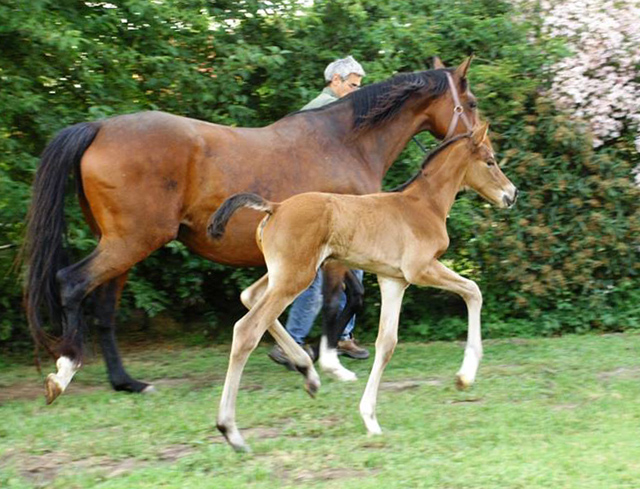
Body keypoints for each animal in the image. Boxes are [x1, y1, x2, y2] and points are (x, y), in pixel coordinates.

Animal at [23, 57, 480, 402]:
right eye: (471, 102)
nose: (481, 139)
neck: (346, 143)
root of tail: (98, 127)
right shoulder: (335, 255)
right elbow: (336, 301)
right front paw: (328, 362)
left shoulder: (340, 252)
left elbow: (353, 296)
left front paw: (309, 355)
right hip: (130, 242)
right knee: (71, 284)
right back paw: (64, 371)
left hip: (123, 246)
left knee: (104, 310)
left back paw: (127, 382)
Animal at [210, 124, 520, 452]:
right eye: (490, 161)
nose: (512, 194)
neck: (423, 205)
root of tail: (276, 207)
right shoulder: (421, 269)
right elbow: (473, 290)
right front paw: (465, 376)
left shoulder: (394, 280)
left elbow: (387, 343)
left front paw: (370, 419)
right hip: (295, 277)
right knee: (247, 329)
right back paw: (231, 431)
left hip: (285, 274)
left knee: (249, 296)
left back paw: (309, 374)